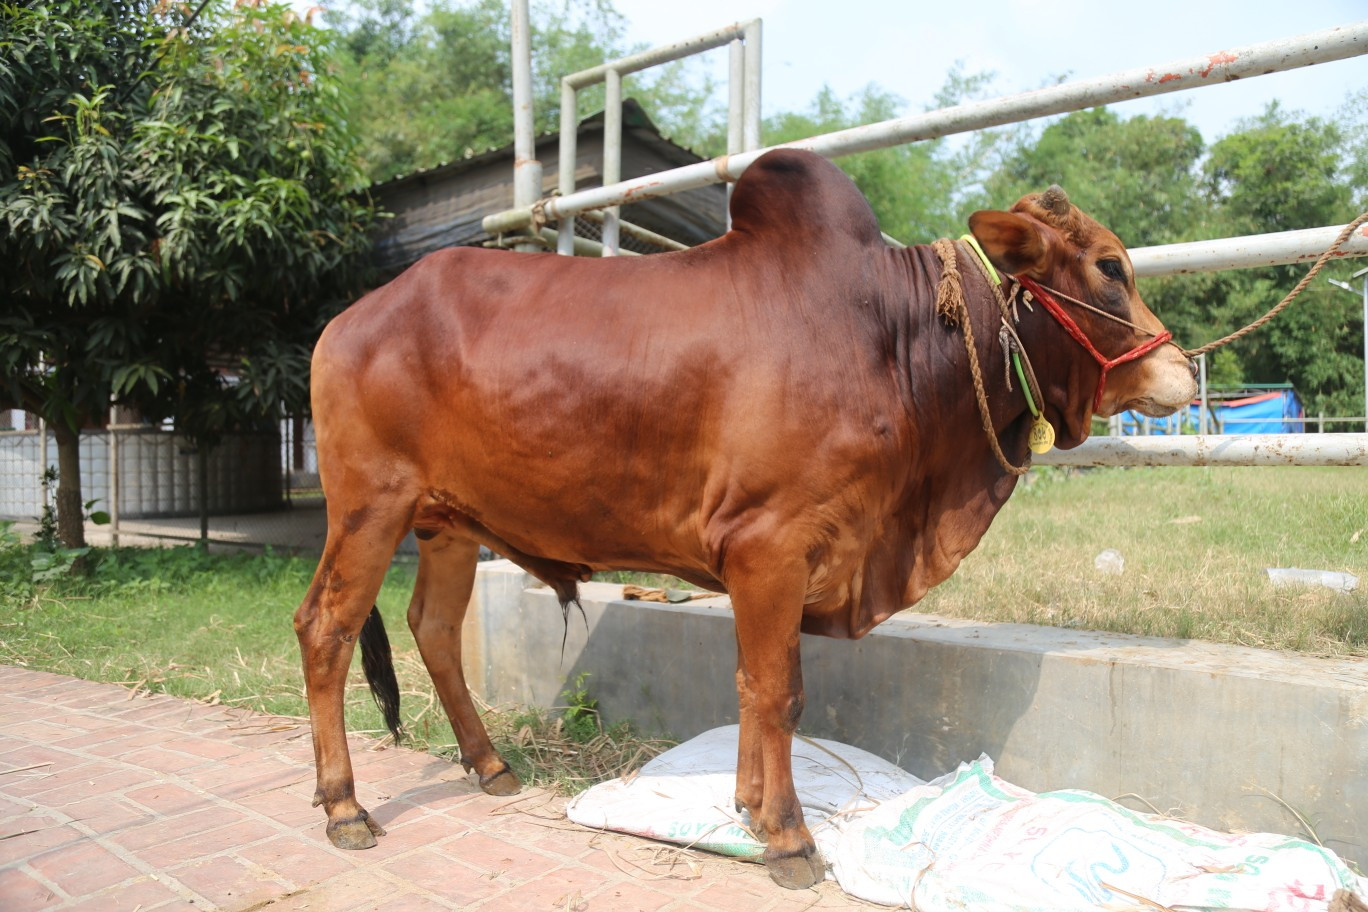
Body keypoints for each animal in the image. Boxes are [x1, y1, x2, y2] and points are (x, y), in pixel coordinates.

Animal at [294, 148, 1198, 890]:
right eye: (1110, 267)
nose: (1183, 371)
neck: (891, 335)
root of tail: (345, 321)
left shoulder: (766, 562)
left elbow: (748, 685)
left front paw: (748, 808)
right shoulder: (772, 547)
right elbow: (778, 691)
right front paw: (788, 838)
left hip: (446, 521)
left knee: (434, 627)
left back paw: (488, 764)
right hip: (370, 508)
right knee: (326, 629)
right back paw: (345, 807)